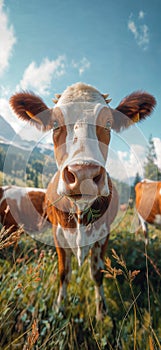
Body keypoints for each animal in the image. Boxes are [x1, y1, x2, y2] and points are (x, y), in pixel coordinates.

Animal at [9, 82, 156, 320]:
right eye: (55, 123)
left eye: (108, 123)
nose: (83, 173)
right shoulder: (57, 234)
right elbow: (64, 273)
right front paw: (59, 308)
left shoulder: (103, 235)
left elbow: (97, 273)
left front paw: (101, 313)